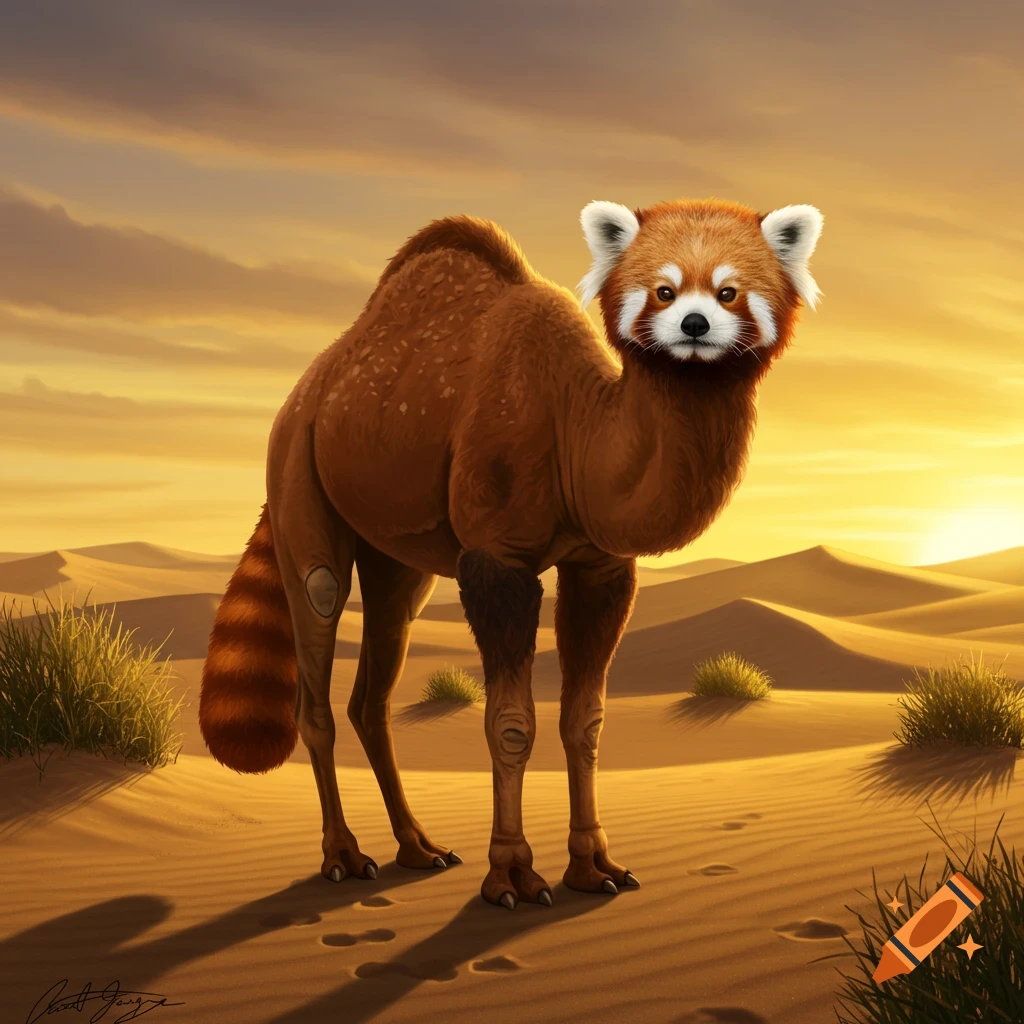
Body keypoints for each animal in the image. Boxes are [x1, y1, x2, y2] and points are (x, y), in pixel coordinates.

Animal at [199, 196, 823, 909]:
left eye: (731, 290)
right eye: (662, 289)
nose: (695, 323)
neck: (575, 426)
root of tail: (302, 395)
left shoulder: (600, 566)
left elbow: (585, 721)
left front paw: (595, 867)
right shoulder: (497, 561)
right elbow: (511, 723)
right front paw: (513, 876)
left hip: (396, 559)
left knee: (375, 682)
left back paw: (418, 846)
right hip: (297, 475)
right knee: (320, 629)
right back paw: (344, 855)